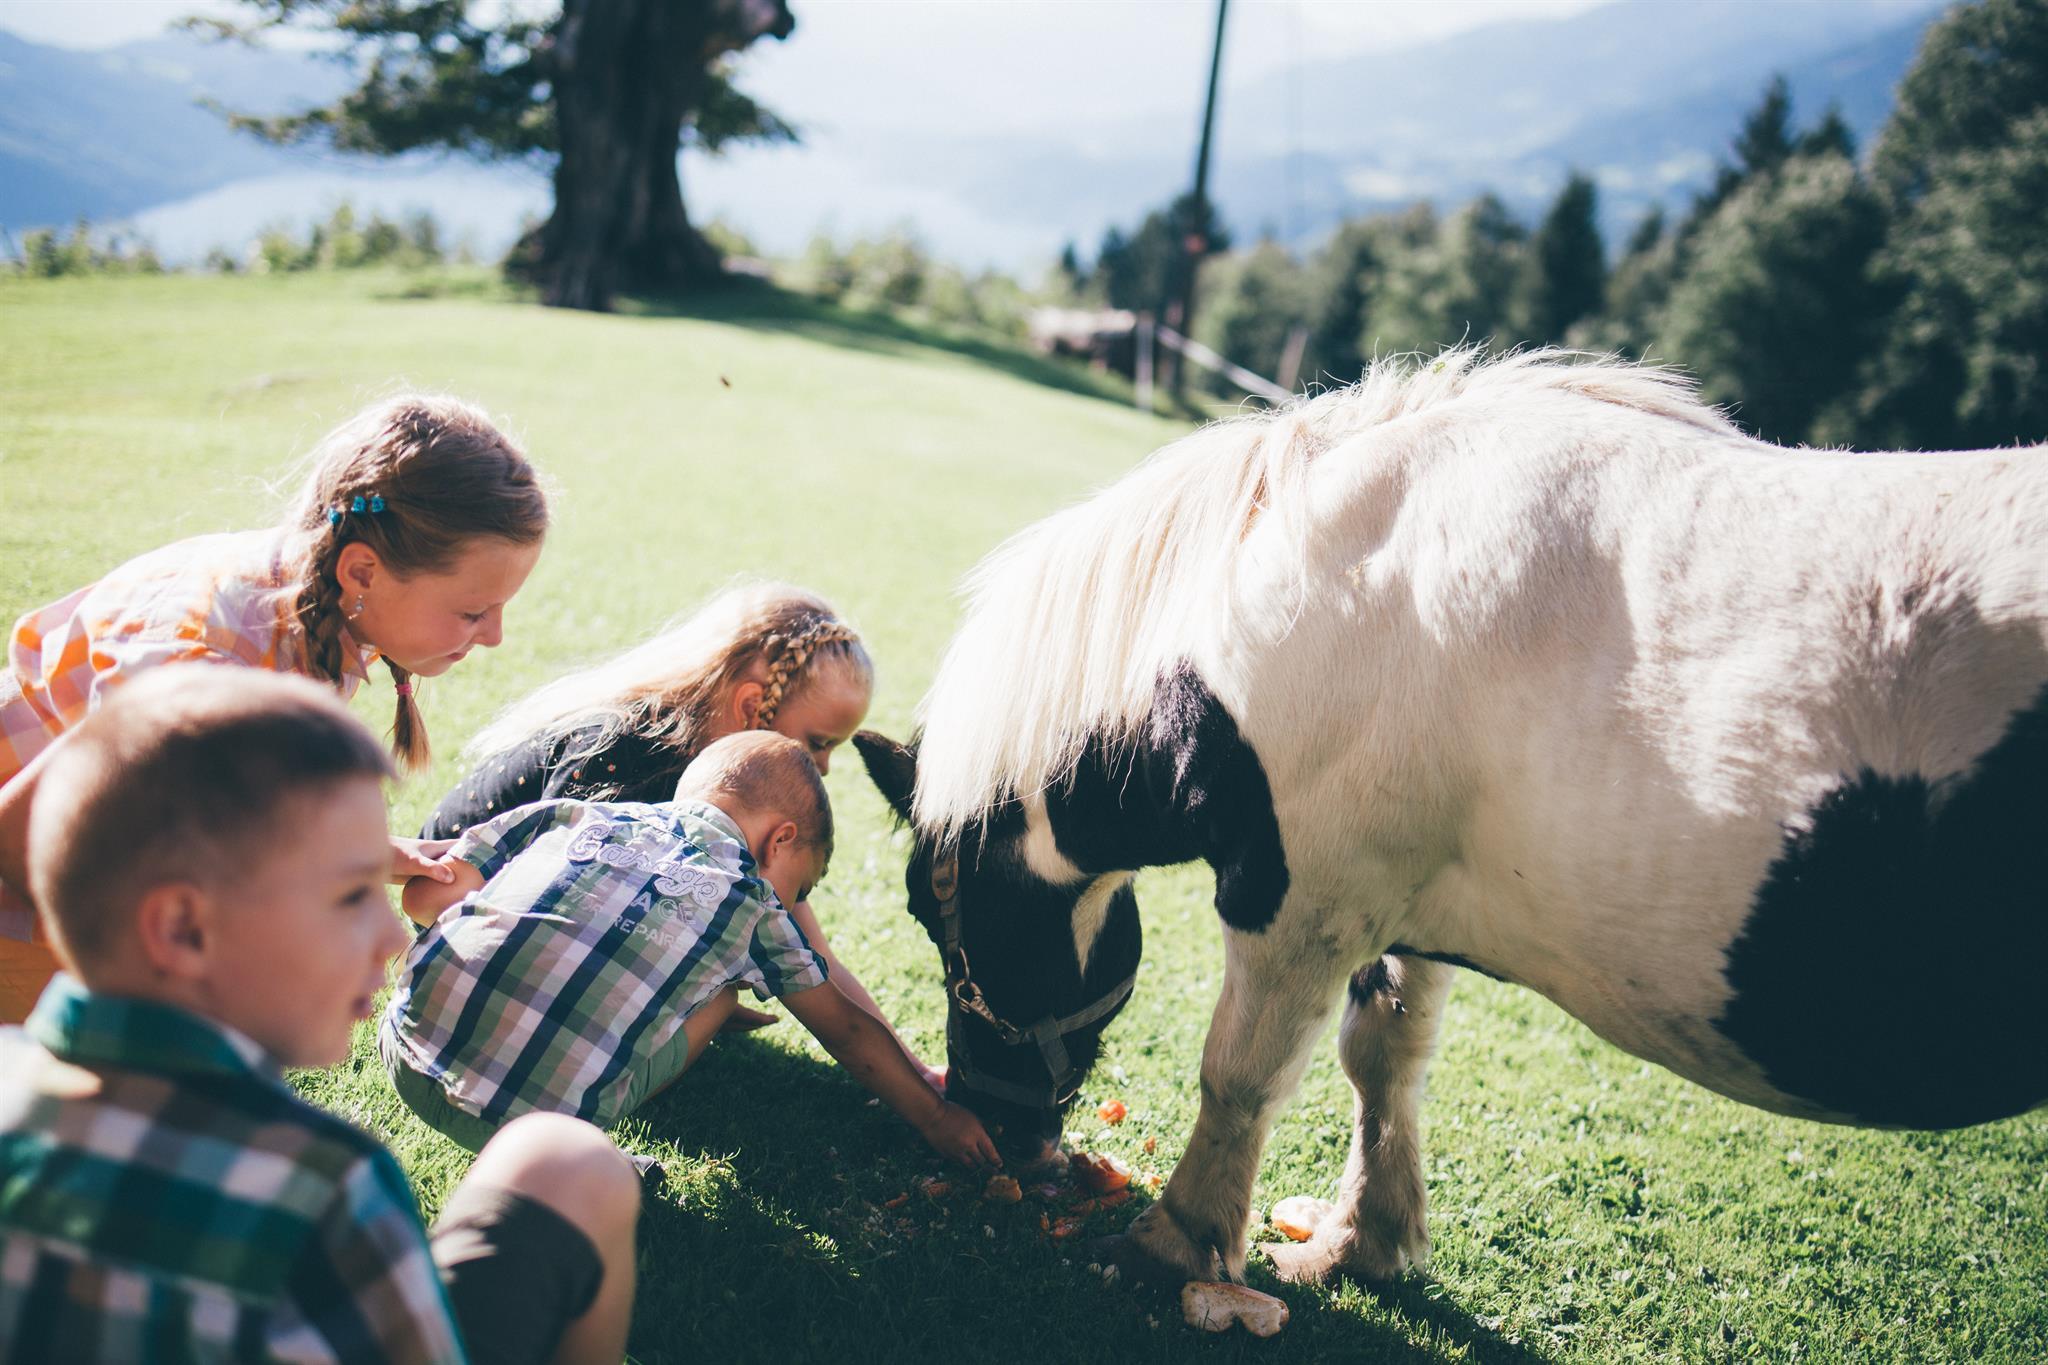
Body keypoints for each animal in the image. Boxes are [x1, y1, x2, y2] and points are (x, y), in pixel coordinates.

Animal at [853, 348, 2048, 1290]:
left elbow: (1242, 1073)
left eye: (938, 916)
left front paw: (1179, 1238)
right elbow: (1383, 1059)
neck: (1325, 597)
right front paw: (1360, 1242)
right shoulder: (1403, 899)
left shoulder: (1307, 899)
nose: (994, 1123)